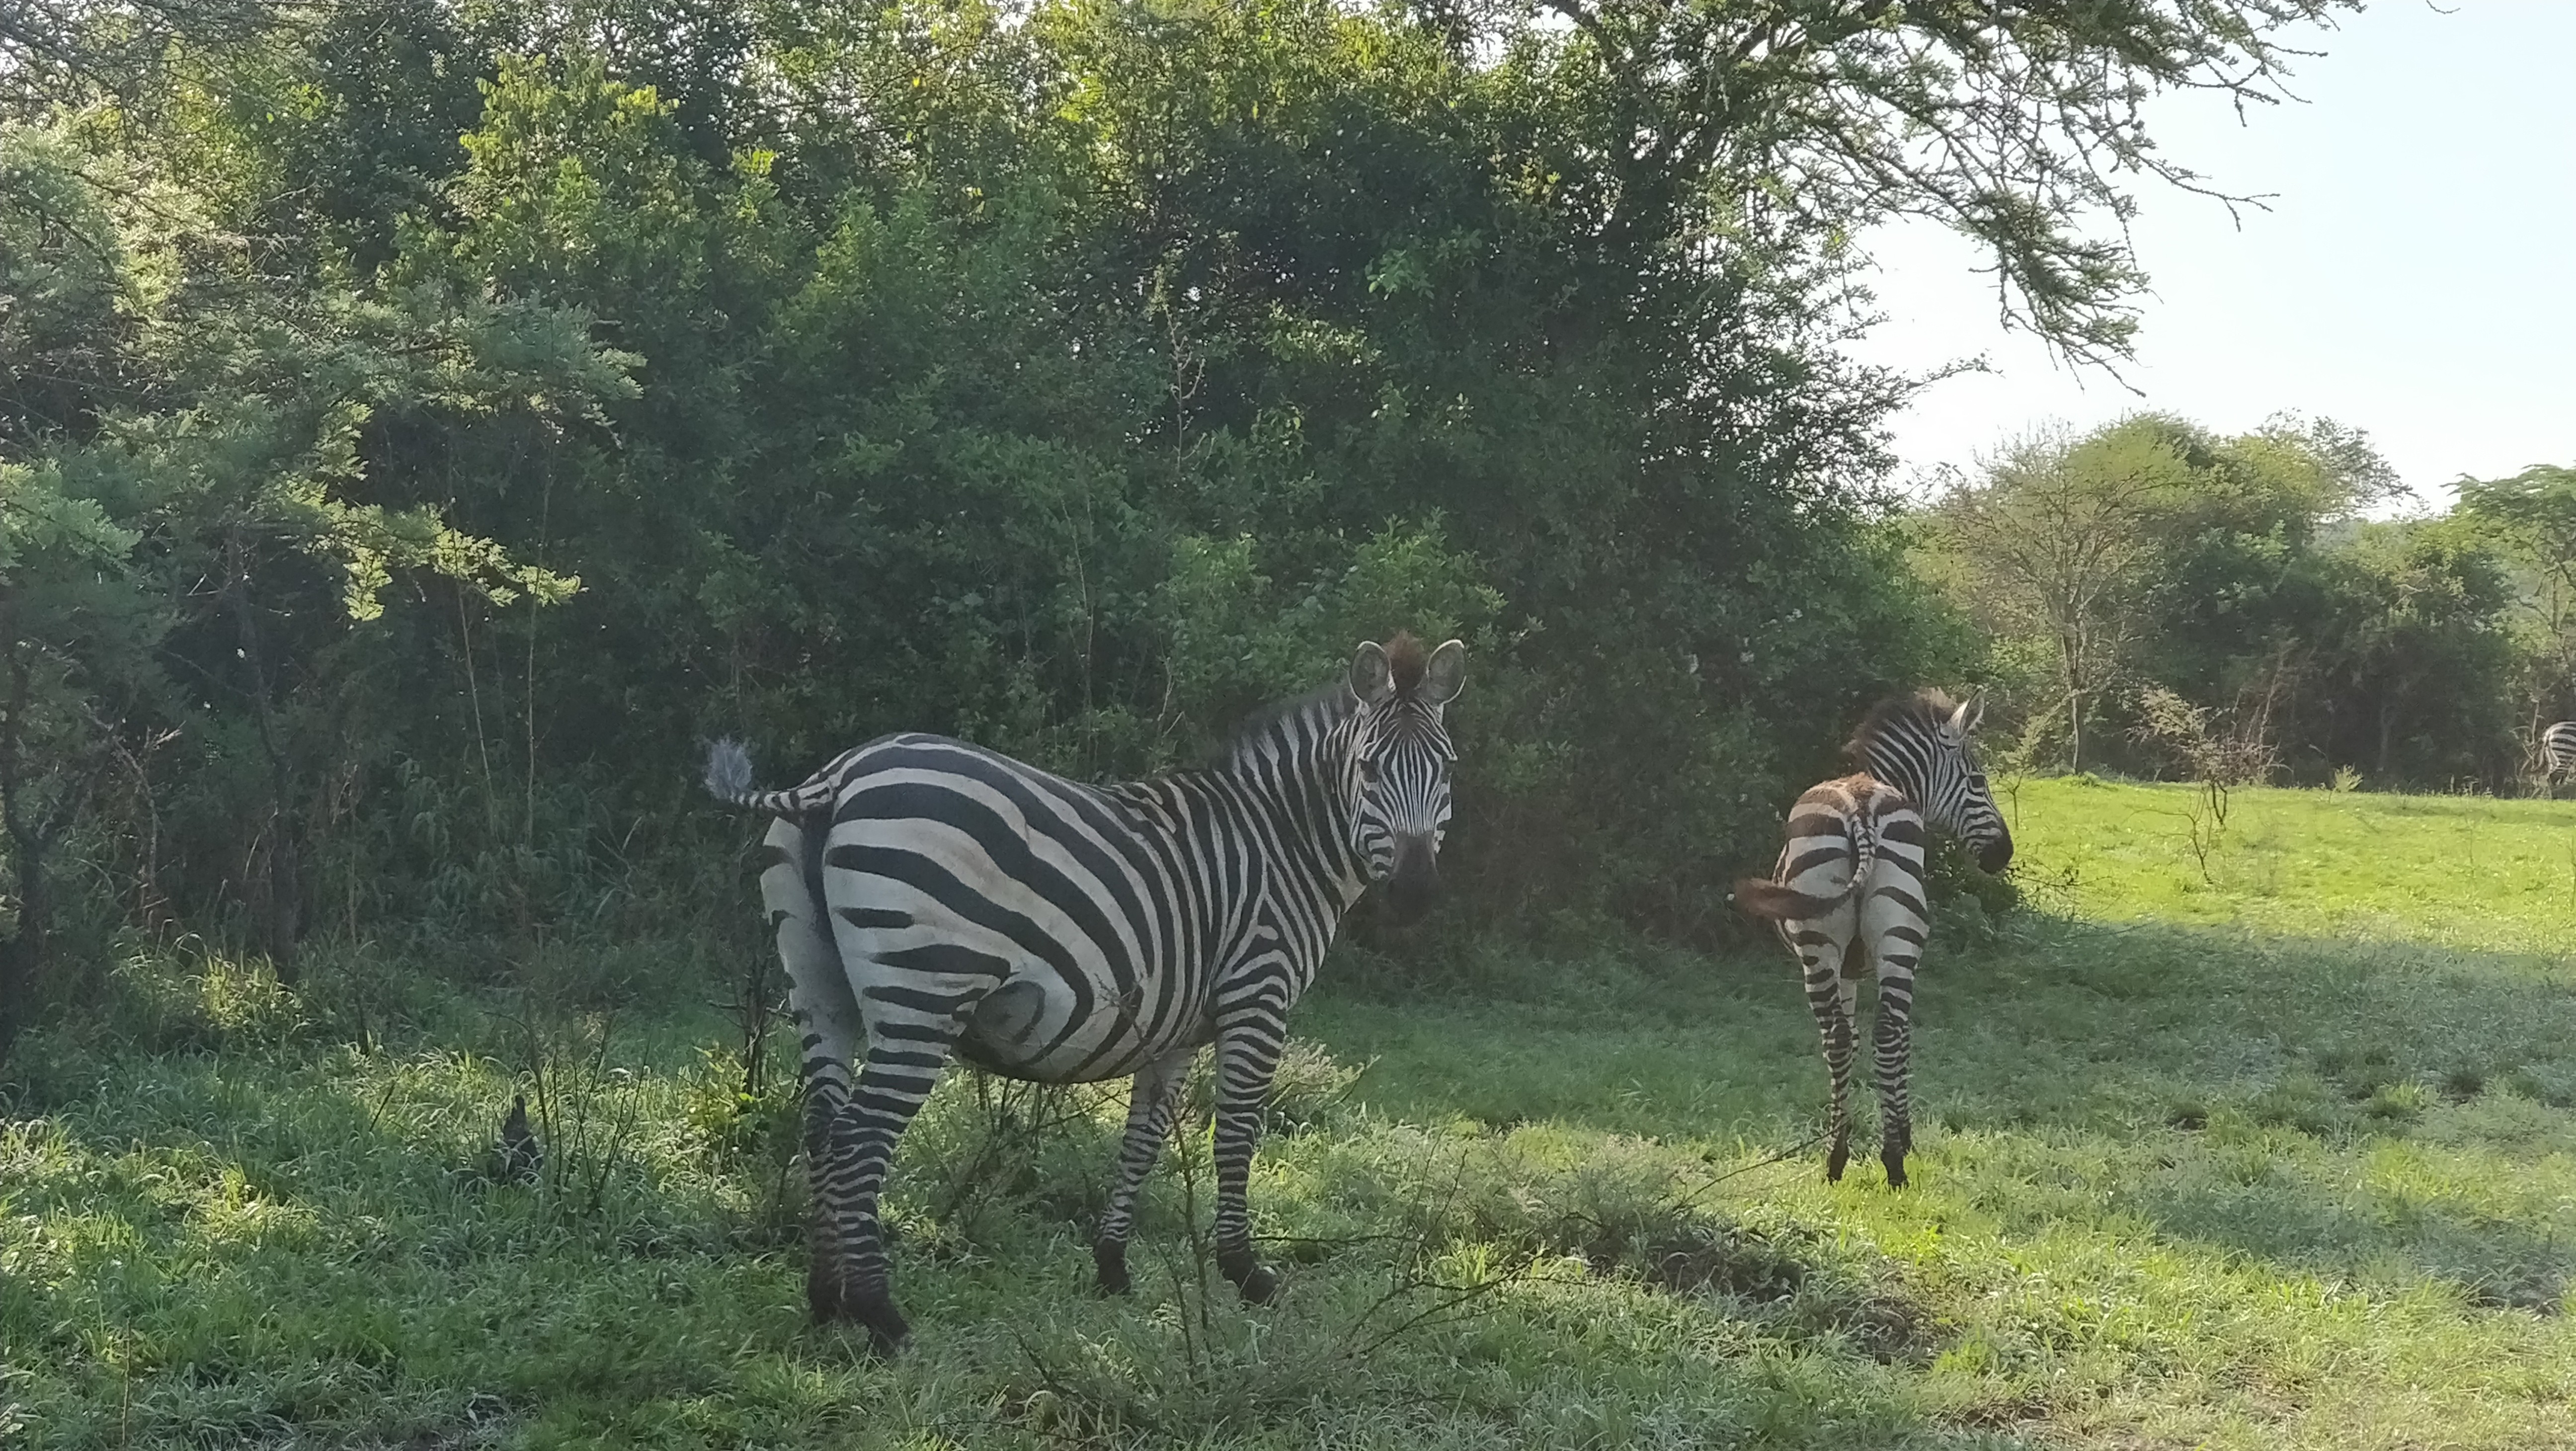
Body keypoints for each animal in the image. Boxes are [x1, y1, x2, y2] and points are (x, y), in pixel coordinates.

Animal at [704, 634, 1466, 1353]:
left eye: (1447, 768)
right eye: (1369, 770)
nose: (1417, 893)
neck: (1284, 842)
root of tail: (840, 773)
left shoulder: (1175, 1028)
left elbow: (1144, 1140)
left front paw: (1112, 1266)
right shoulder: (1259, 992)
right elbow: (1236, 1135)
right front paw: (1246, 1272)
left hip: (818, 987)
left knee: (822, 1126)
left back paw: (825, 1300)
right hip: (922, 991)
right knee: (860, 1135)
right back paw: (880, 1315)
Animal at [1734, 689, 2011, 1189]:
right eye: (1978, 780)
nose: (2005, 854)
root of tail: (1861, 806)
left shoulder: (1848, 966)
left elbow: (1858, 1036)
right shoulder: (1857, 966)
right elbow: (1881, 1037)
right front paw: (1895, 1132)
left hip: (1823, 945)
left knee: (1846, 1036)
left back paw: (1847, 1156)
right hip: (1891, 937)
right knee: (1883, 1031)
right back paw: (1884, 1159)